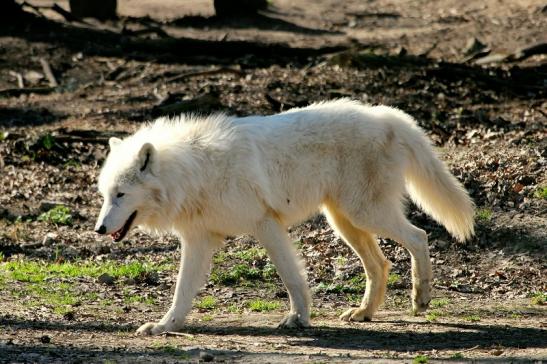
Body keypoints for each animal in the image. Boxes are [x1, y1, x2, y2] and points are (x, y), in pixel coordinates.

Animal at [95, 99, 476, 336]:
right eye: (105, 195)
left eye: (121, 195)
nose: (99, 229)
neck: (194, 170)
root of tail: (388, 115)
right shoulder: (198, 240)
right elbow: (181, 292)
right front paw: (166, 326)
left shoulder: (266, 224)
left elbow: (291, 277)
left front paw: (298, 318)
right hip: (345, 222)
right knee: (381, 264)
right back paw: (364, 313)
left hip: (365, 214)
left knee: (418, 237)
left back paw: (420, 299)